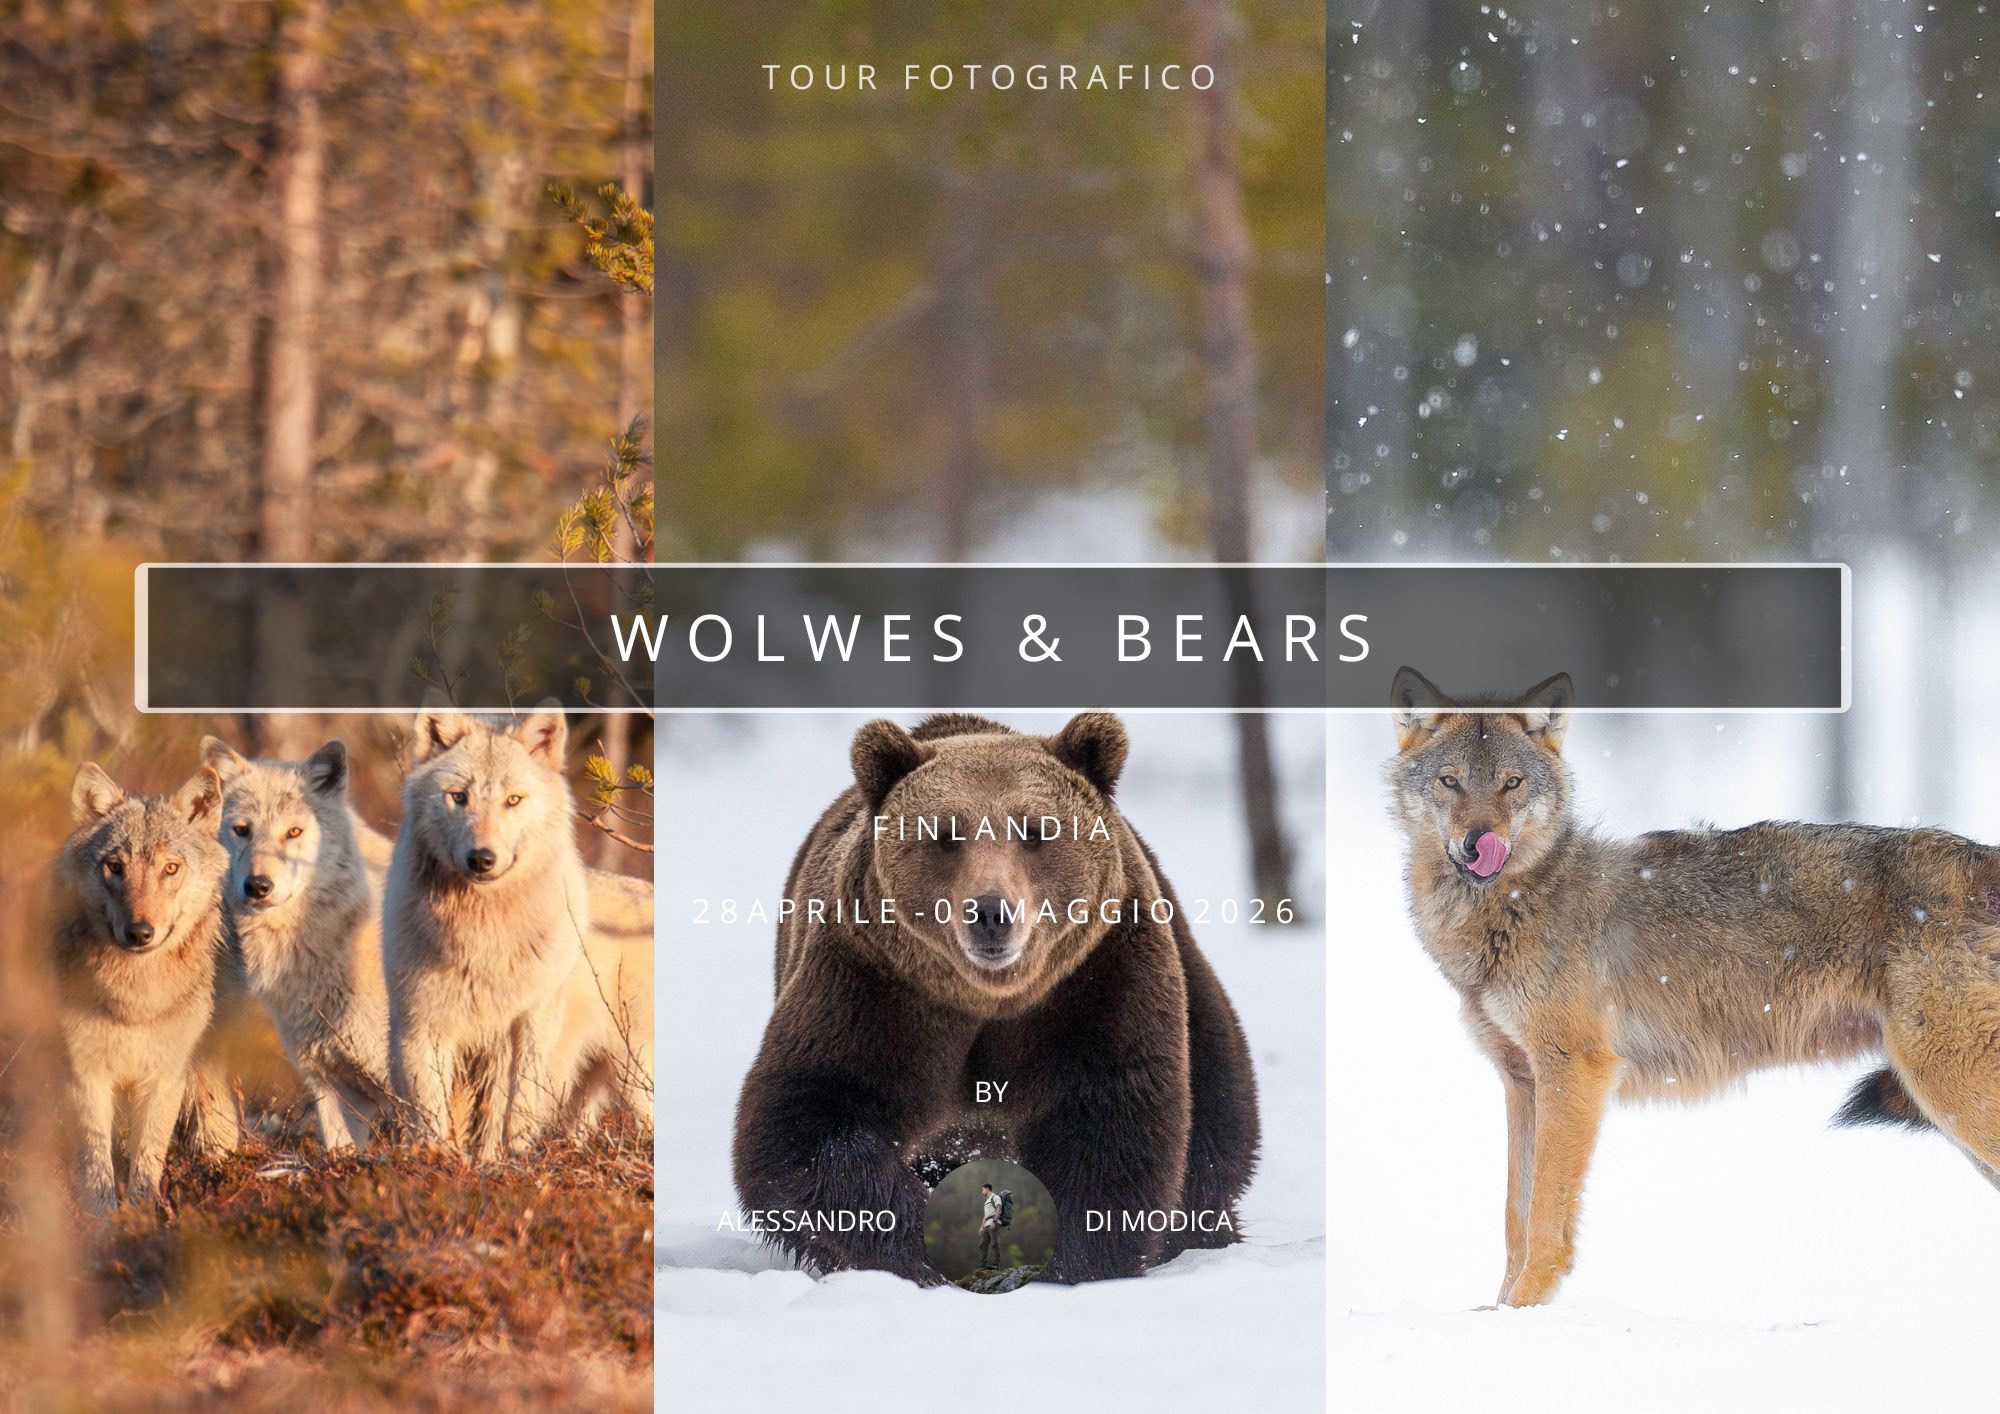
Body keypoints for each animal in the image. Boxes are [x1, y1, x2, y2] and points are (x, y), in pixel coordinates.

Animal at [51, 762, 231, 1214]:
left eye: (170, 868)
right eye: (115, 867)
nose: (139, 933)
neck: (136, 1000)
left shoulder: (164, 1078)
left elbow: (148, 1161)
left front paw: (141, 1218)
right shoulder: (86, 1075)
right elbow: (96, 1164)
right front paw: (101, 1223)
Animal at [382, 704, 601, 1158]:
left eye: (513, 800)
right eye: (458, 796)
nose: (481, 858)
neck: (481, 937)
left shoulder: (525, 1023)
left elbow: (513, 1106)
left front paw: (504, 1161)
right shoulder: (423, 1022)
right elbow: (430, 1107)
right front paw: (437, 1160)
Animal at [731, 712, 1260, 1283]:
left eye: (1036, 831)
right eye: (945, 834)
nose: (989, 911)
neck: (990, 998)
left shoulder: (1096, 980)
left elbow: (1110, 1118)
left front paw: (1068, 1260)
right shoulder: (874, 985)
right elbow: (807, 1117)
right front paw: (926, 1243)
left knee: (1219, 1118)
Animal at [1390, 665, 2000, 1306]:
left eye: (1511, 783)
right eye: (1451, 782)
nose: (1479, 843)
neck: (1514, 904)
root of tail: (1981, 857)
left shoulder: (1574, 1071)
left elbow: (1543, 1224)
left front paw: (1524, 1309)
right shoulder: (1521, 1082)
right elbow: (1514, 1219)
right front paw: (1500, 1313)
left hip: (1950, 1088)